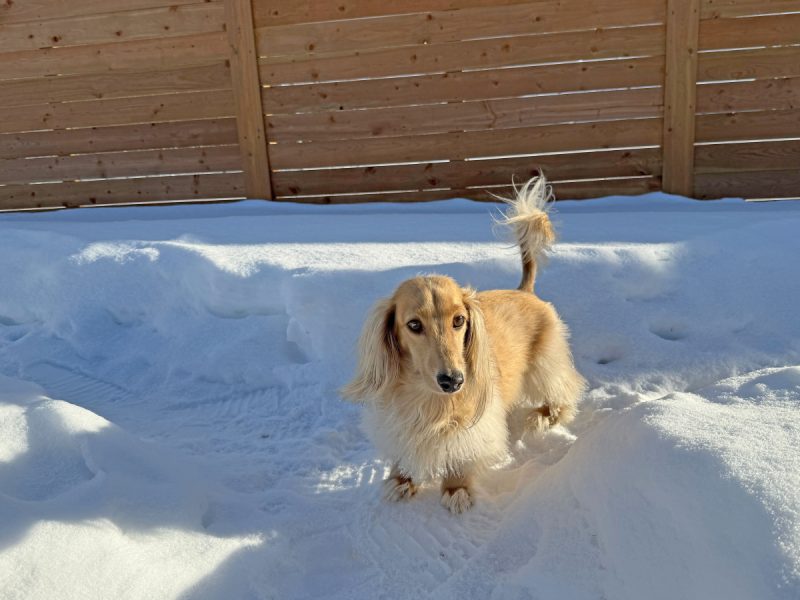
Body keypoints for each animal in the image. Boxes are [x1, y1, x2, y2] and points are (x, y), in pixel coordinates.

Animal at [340, 176, 584, 512]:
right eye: (413, 325)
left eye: (458, 320)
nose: (453, 381)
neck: (428, 397)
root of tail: (525, 290)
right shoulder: (400, 418)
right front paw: (401, 478)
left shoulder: (470, 423)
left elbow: (461, 451)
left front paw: (456, 488)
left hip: (545, 364)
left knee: (565, 393)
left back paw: (543, 417)